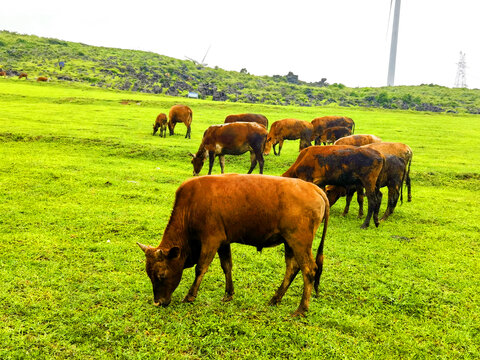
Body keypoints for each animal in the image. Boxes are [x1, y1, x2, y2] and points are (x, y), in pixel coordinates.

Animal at [137, 173, 328, 316]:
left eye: (161, 275)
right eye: (149, 275)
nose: (158, 302)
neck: (191, 205)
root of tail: (314, 188)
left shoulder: (211, 240)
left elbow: (200, 268)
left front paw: (190, 296)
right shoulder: (223, 241)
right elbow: (227, 266)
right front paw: (228, 294)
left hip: (299, 242)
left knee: (309, 270)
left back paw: (301, 309)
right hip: (289, 243)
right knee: (292, 268)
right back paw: (275, 299)